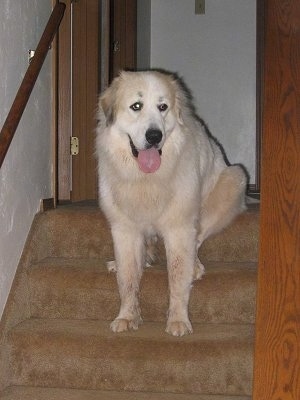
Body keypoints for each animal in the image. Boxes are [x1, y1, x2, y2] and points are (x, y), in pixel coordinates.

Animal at [95, 70, 246, 336]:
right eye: (136, 106)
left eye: (162, 107)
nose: (154, 136)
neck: (145, 179)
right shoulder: (124, 230)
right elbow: (127, 278)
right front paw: (127, 316)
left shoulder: (179, 228)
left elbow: (177, 277)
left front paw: (178, 321)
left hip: (233, 179)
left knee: (198, 239)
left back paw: (195, 266)